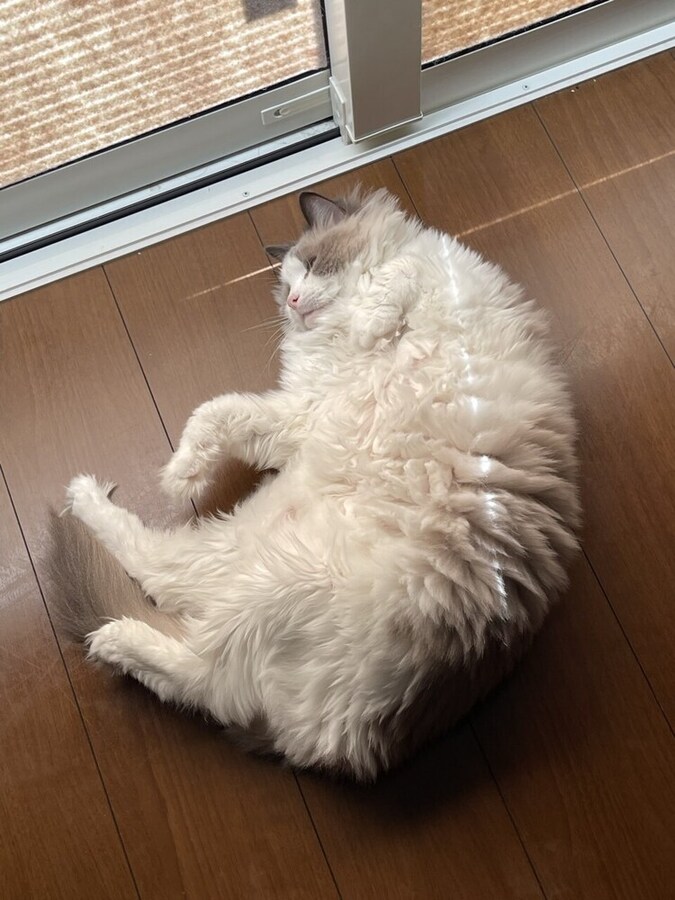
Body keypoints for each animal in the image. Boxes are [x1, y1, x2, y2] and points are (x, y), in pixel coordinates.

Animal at [50, 188, 580, 780]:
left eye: (313, 266)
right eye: (285, 289)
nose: (296, 303)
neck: (340, 341)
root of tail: (328, 745)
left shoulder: (446, 286)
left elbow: (401, 274)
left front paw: (373, 316)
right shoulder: (302, 413)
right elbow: (213, 415)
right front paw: (180, 473)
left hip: (272, 587)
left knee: (194, 656)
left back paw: (111, 632)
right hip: (252, 568)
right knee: (169, 598)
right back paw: (86, 506)